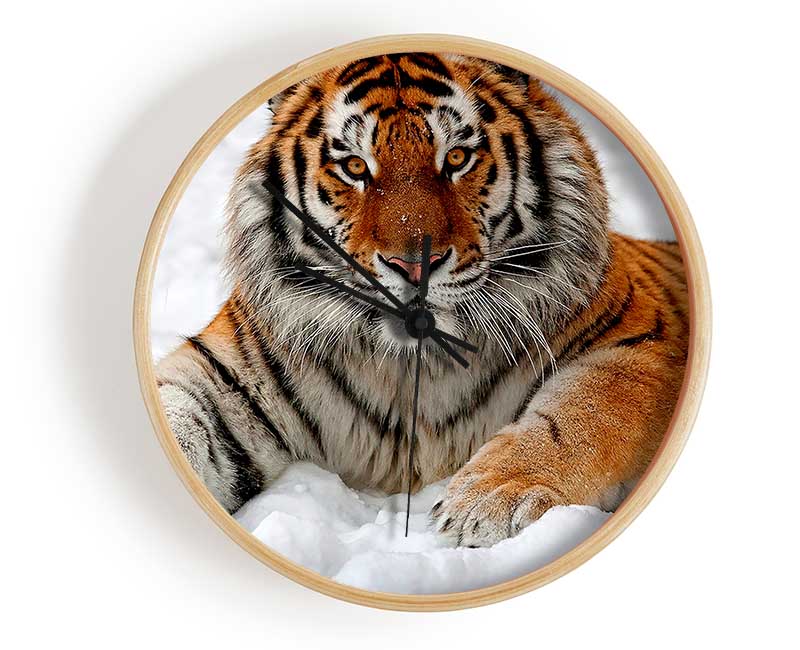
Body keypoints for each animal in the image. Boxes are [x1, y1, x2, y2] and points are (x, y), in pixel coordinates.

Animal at [155, 52, 689, 548]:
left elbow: (583, 415)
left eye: (456, 159)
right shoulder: (225, 375)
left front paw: (491, 499)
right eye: (354, 166)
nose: (414, 264)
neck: (418, 363)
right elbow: (178, 414)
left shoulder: (640, 341)